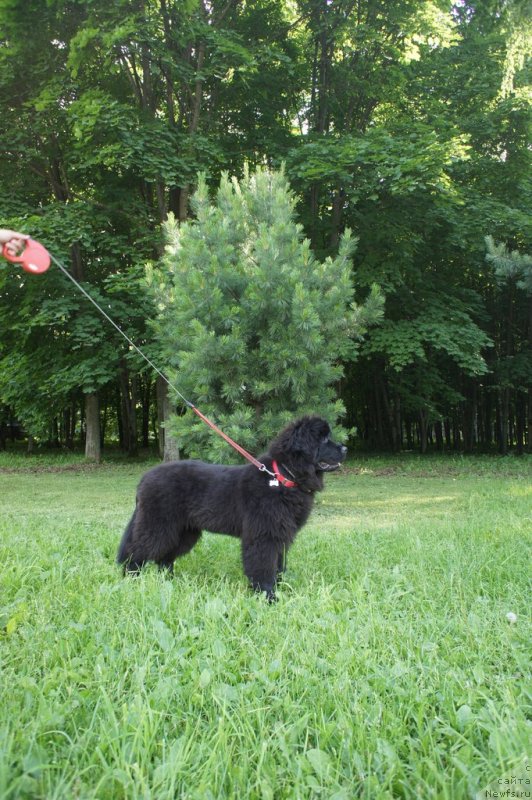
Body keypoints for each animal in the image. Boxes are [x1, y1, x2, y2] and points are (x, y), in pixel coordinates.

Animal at [117, 418, 348, 600]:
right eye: (323, 440)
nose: (345, 448)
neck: (283, 477)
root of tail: (144, 479)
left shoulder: (280, 535)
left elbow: (278, 565)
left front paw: (281, 588)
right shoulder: (263, 536)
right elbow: (264, 567)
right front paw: (268, 596)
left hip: (183, 531)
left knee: (165, 557)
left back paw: (169, 581)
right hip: (157, 525)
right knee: (135, 552)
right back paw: (130, 580)